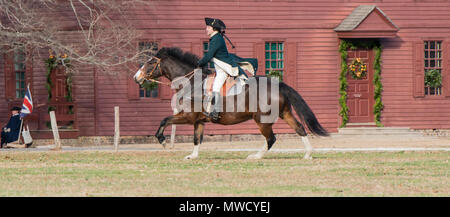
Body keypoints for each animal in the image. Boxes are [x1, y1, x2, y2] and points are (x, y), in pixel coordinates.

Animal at [134, 47, 326, 159]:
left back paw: (255, 156)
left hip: (262, 120)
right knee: (299, 129)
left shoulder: (187, 117)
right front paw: (193, 156)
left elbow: (164, 120)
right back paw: (308, 154)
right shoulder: (199, 121)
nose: (136, 78)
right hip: (285, 113)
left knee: (271, 138)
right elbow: (197, 139)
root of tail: (278, 84)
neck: (191, 82)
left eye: (150, 62)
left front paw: (162, 140)